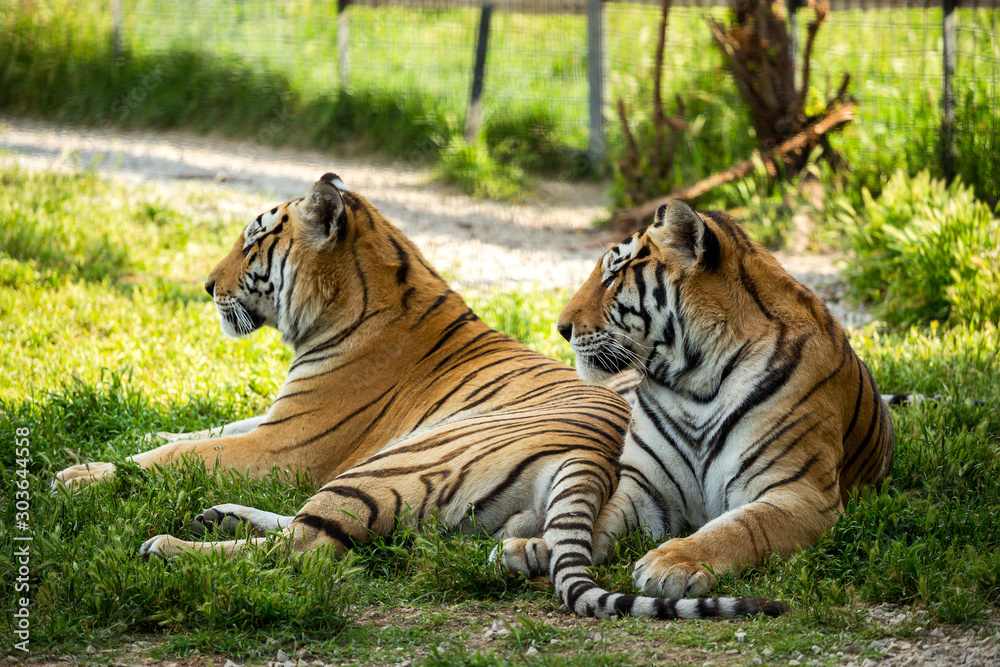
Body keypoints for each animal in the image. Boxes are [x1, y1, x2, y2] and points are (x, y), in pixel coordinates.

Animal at [55, 175, 785, 620]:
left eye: (255, 240)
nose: (207, 286)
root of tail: (594, 458)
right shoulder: (271, 419)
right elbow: (191, 433)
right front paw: (112, 441)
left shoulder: (286, 442)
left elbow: (180, 457)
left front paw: (77, 475)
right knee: (319, 532)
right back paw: (215, 518)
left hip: (405, 454)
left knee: (306, 546)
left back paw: (171, 547)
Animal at [529, 199, 894, 604]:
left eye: (613, 276)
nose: (561, 329)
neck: (694, 384)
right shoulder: (646, 488)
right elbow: (600, 521)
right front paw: (537, 547)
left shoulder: (802, 493)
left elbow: (740, 527)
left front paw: (670, 562)